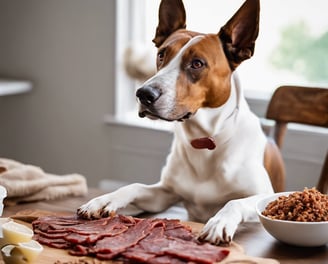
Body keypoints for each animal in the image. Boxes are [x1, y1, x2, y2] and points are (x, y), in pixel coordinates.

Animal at [77, 0, 284, 244]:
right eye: (161, 54)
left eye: (197, 63)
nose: (143, 94)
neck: (205, 139)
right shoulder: (165, 193)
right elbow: (134, 186)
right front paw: (104, 199)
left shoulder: (265, 195)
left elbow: (235, 201)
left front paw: (219, 222)